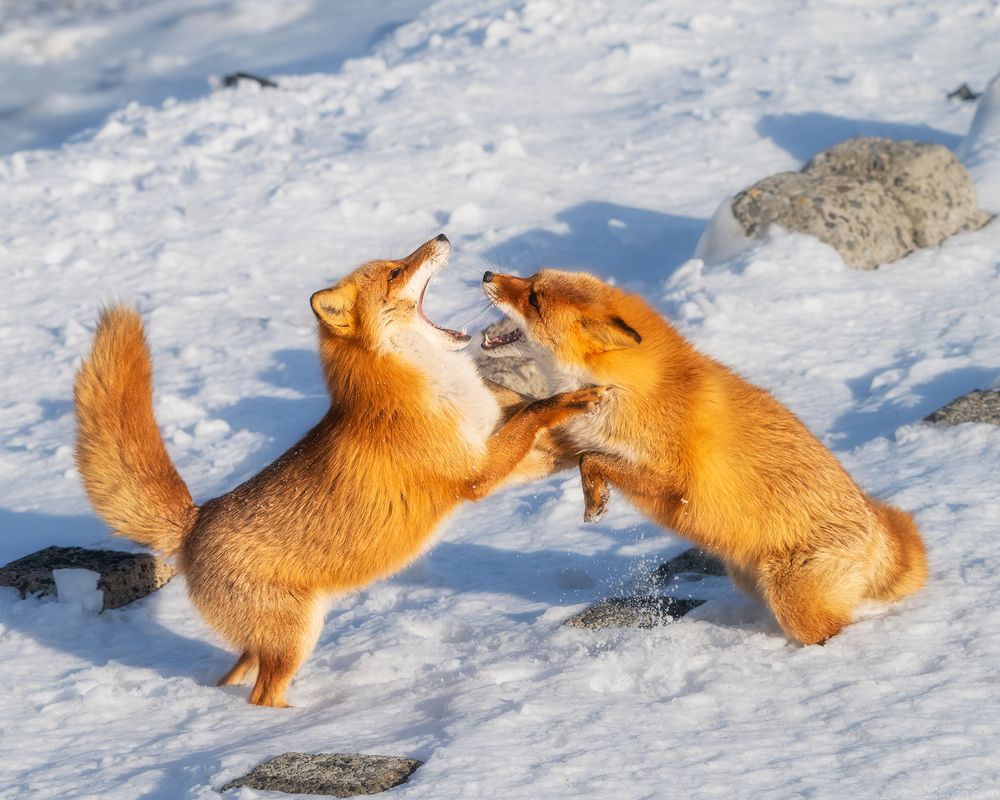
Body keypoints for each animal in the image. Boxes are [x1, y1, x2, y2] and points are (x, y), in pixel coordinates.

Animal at [74, 235, 609, 707]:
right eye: (395, 272)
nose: (441, 235)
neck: (431, 387)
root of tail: (194, 521)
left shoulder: (490, 453)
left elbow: (563, 452)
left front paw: (600, 474)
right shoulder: (475, 474)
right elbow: (537, 411)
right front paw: (576, 399)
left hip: (266, 642)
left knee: (238, 670)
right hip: (295, 639)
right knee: (264, 696)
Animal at [480, 268, 927, 645]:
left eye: (534, 298)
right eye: (530, 277)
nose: (486, 274)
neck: (628, 391)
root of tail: (880, 524)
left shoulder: (675, 484)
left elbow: (593, 459)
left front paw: (595, 500)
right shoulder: (564, 442)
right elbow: (540, 432)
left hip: (795, 605)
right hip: (751, 581)